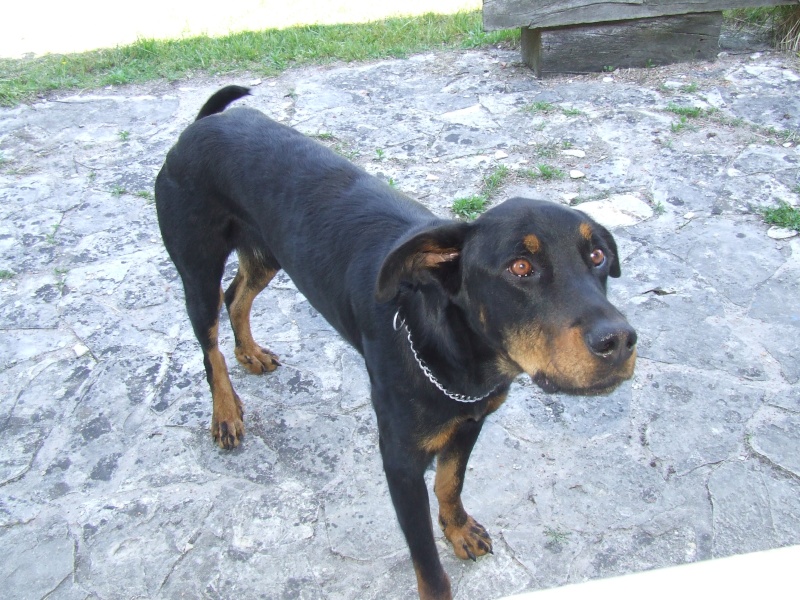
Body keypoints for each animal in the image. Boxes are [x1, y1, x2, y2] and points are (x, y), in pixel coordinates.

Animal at [153, 85, 636, 600]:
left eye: (597, 256)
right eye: (520, 268)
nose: (620, 341)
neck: (456, 355)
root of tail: (202, 123)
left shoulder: (469, 421)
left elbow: (450, 483)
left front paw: (458, 529)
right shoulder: (400, 462)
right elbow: (427, 563)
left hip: (267, 253)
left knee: (237, 296)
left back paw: (249, 352)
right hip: (197, 268)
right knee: (209, 344)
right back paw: (225, 411)